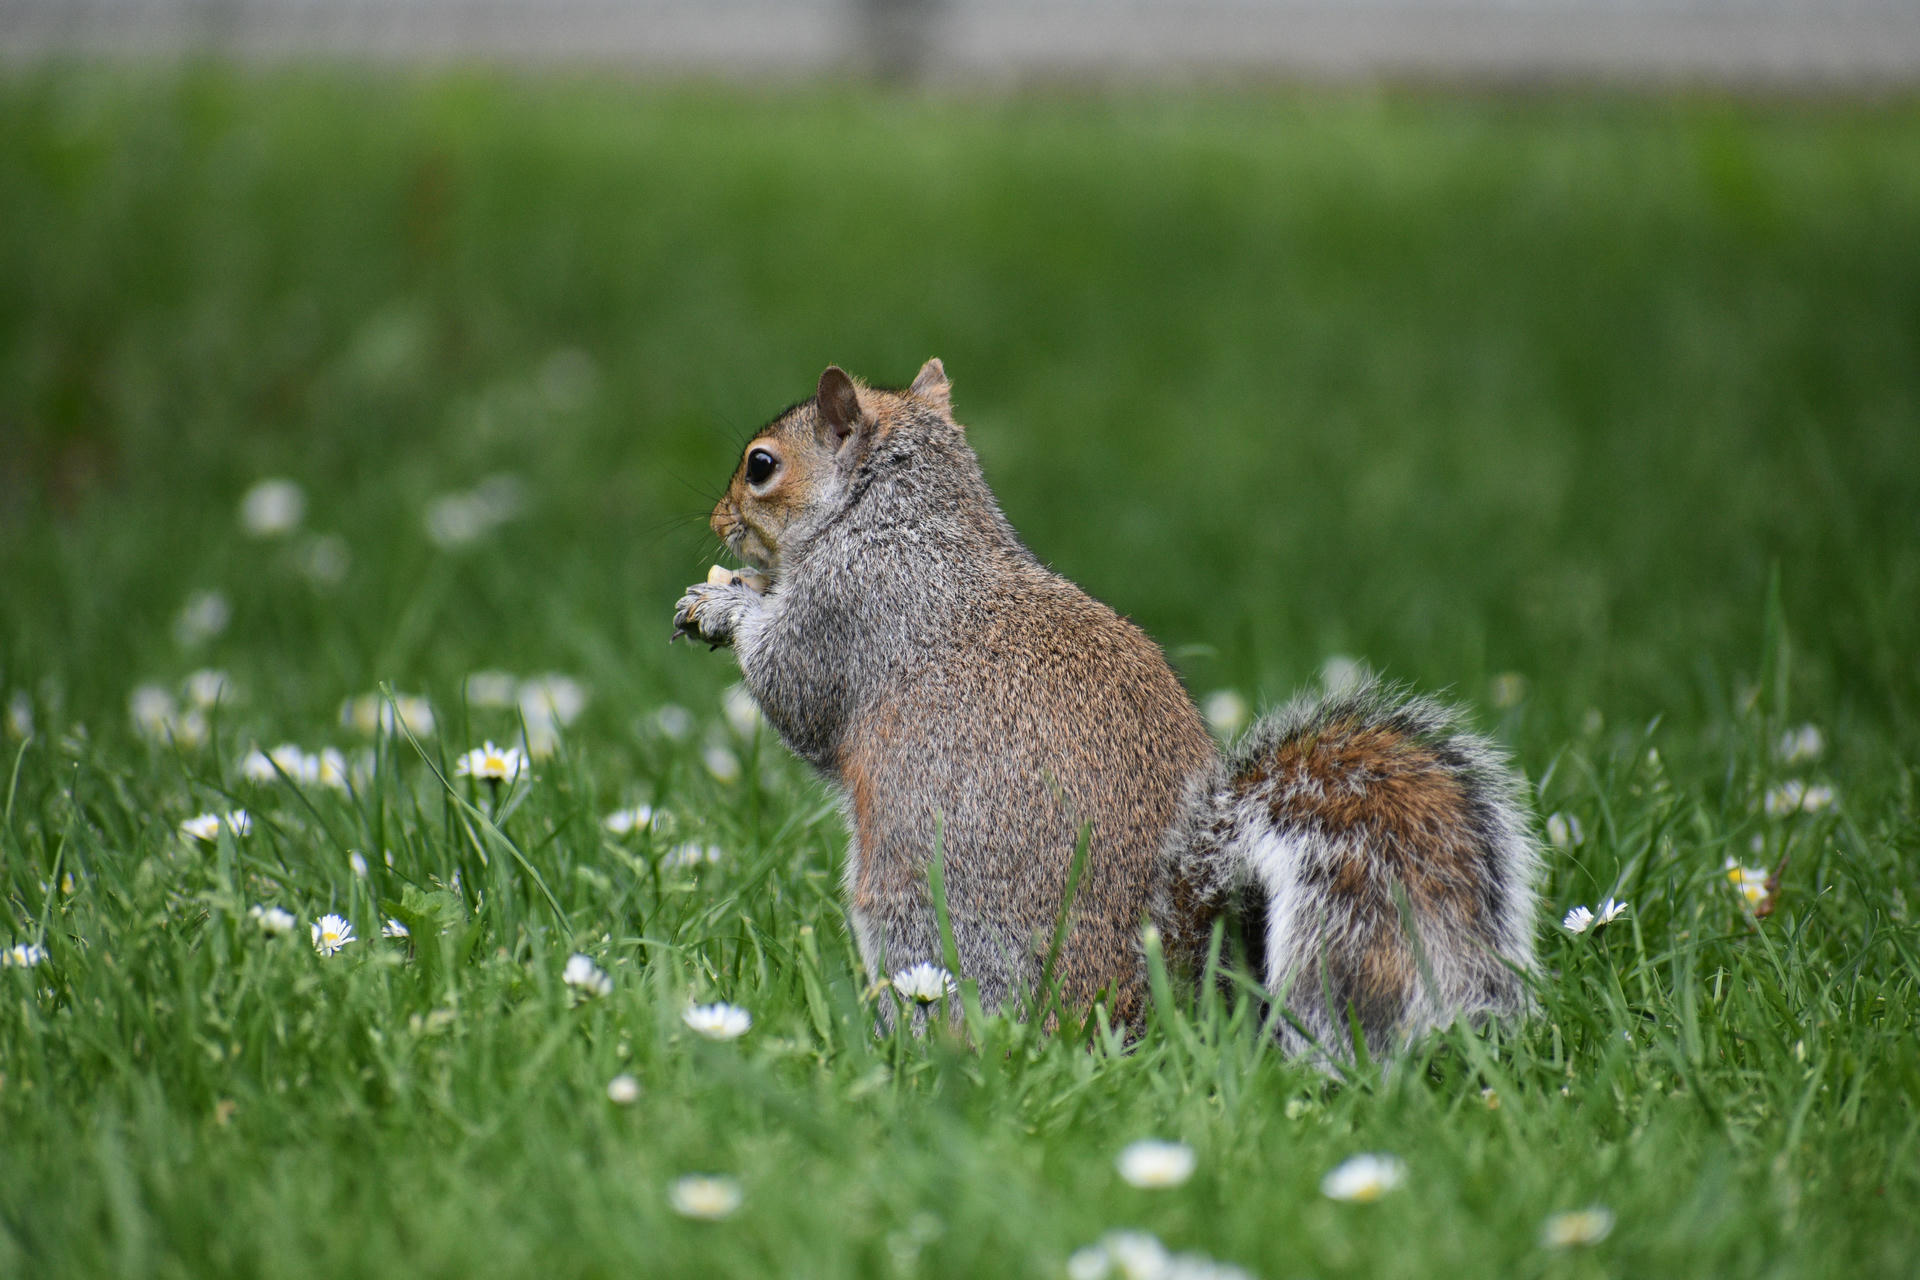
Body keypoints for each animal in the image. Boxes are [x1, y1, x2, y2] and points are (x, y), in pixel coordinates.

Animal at [672, 361, 1540, 1058]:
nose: (715, 521)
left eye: (760, 465)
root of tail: (1156, 999)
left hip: (916, 916)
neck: (899, 516)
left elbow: (798, 692)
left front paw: (724, 606)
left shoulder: (849, 609)